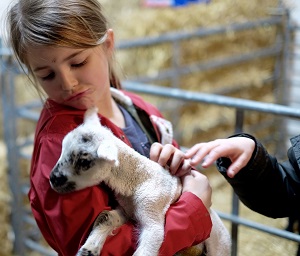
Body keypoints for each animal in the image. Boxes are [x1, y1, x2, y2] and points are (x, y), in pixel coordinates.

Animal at [49, 107, 232, 256]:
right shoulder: (127, 211)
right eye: (62, 147)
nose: (53, 179)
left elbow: (148, 246)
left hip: (219, 245)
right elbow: (107, 217)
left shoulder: (152, 213)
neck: (136, 180)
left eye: (83, 162)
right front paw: (89, 249)